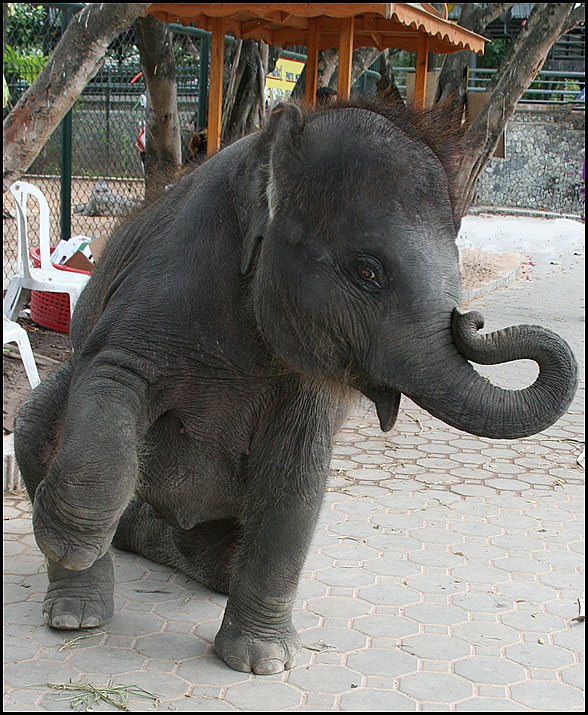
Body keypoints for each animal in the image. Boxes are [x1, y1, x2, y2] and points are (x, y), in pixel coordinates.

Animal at [14, 98, 578, 675]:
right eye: (368, 272)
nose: (473, 320)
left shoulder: (308, 380)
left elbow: (296, 475)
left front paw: (261, 663)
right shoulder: (161, 279)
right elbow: (111, 376)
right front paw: (62, 537)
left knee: (214, 560)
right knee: (36, 419)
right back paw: (76, 613)